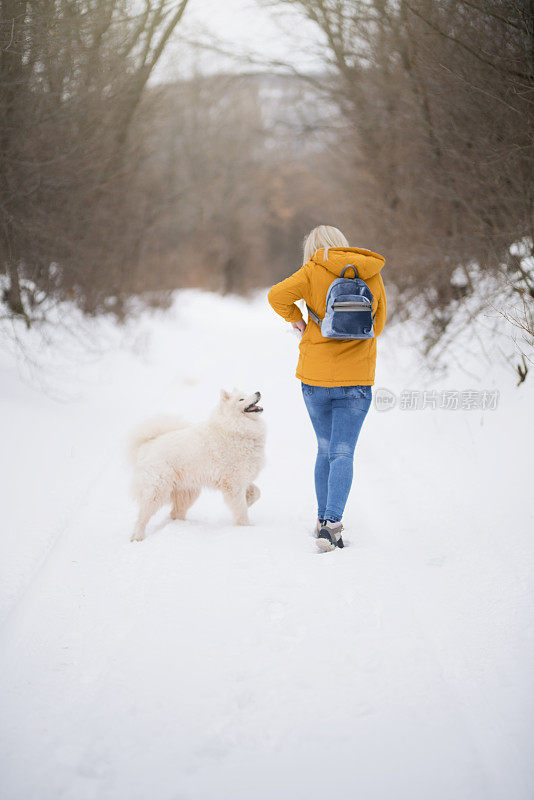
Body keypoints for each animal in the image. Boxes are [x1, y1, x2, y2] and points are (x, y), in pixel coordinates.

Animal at [128, 390, 266, 540]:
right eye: (241, 399)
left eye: (247, 393)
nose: (258, 392)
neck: (234, 427)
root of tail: (146, 445)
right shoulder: (234, 483)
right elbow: (240, 510)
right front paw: (245, 528)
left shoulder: (242, 479)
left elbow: (257, 493)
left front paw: (248, 501)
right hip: (157, 491)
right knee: (142, 517)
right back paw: (137, 537)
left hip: (188, 492)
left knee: (175, 513)